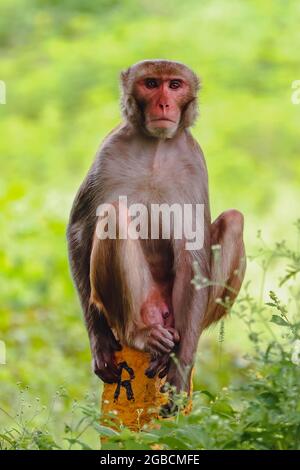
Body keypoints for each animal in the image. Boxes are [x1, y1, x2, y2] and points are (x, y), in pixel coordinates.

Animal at [66, 58, 246, 392]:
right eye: (151, 84)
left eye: (174, 85)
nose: (163, 103)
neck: (156, 149)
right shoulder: (106, 154)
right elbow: (79, 232)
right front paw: (99, 341)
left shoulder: (194, 164)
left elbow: (193, 253)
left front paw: (179, 364)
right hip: (138, 303)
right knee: (114, 214)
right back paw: (139, 333)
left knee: (234, 220)